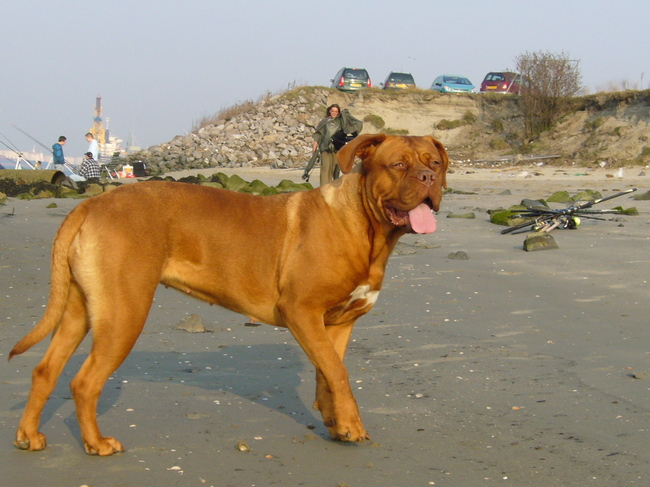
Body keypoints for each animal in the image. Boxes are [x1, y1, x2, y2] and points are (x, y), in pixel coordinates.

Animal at [9, 133, 448, 455]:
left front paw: (337, 424)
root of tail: (88, 205)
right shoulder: (302, 311)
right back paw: (96, 443)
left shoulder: (338, 323)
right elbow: (338, 374)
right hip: (124, 313)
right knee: (84, 382)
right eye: (399, 165)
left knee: (45, 370)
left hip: (80, 310)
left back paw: (29, 436)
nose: (428, 180)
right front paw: (352, 425)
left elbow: (329, 374)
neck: (366, 227)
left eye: (435, 163)